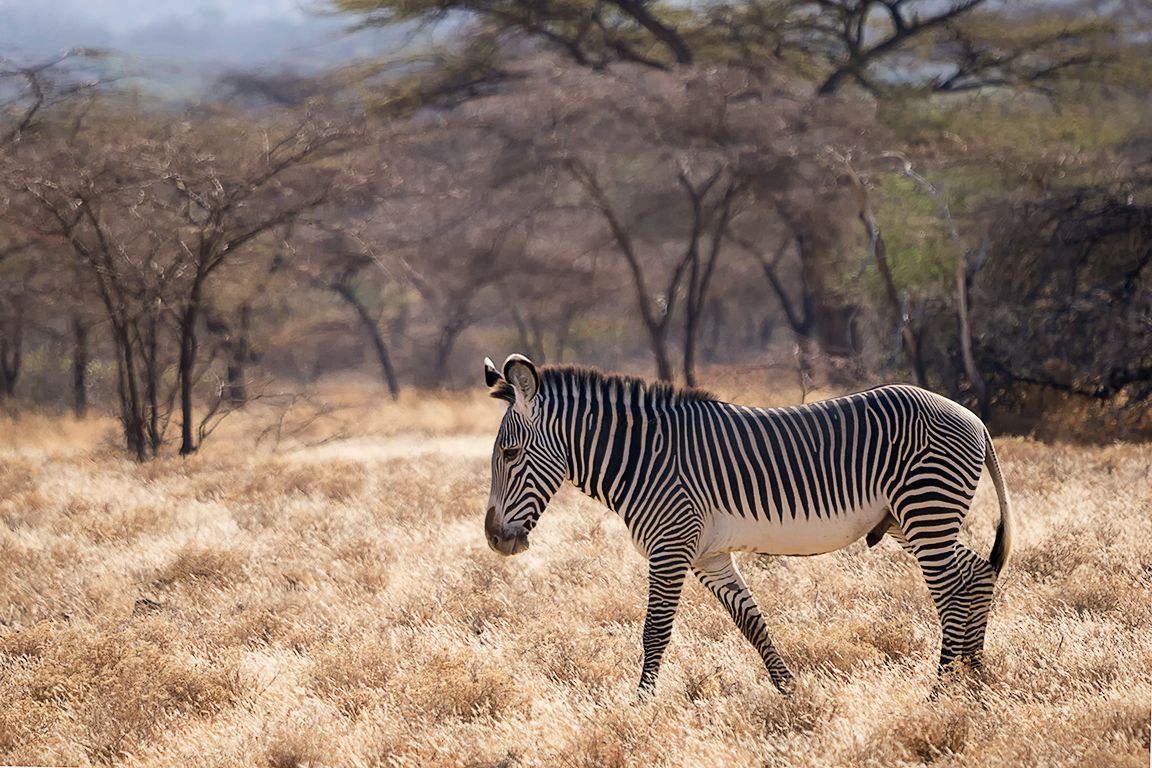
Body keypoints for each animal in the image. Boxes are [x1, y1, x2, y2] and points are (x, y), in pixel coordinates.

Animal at [482, 354, 1013, 696]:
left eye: (509, 453)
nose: (493, 538)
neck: (644, 459)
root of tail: (974, 418)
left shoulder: (671, 547)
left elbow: (655, 631)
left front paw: (640, 708)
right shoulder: (708, 556)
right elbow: (752, 623)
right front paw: (790, 691)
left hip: (926, 508)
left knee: (952, 591)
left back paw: (941, 689)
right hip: (913, 518)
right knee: (977, 574)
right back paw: (974, 678)